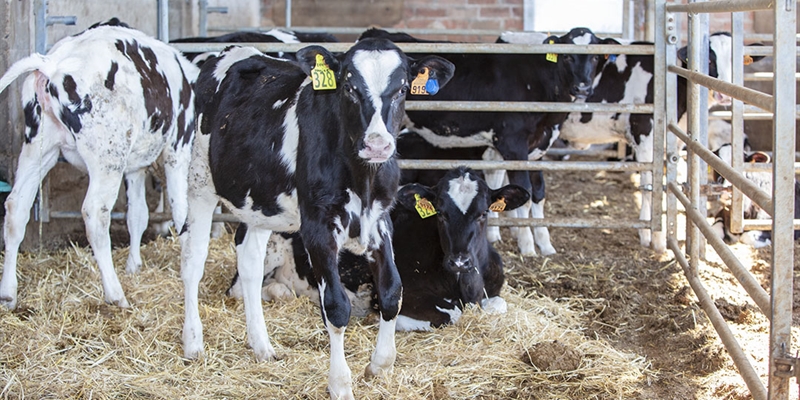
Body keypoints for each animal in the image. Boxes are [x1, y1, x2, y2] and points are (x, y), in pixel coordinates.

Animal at [0, 20, 198, 310]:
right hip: (107, 159)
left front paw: (134, 265)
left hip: (39, 149)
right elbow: (181, 210)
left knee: (16, 207)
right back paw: (115, 294)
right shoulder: (177, 149)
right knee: (94, 214)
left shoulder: (135, 167)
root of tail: (54, 62)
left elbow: (137, 215)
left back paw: (8, 293)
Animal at [180, 40, 454, 399]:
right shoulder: (317, 228)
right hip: (199, 181)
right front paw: (340, 384)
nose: (377, 145)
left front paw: (380, 365)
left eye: (402, 88)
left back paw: (262, 346)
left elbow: (393, 292)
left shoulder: (381, 221)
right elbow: (336, 308)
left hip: (261, 203)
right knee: (193, 260)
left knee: (250, 262)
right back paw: (193, 343)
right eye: (350, 88)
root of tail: (233, 50)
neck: (362, 179)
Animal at [227, 166, 530, 331]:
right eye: (441, 214)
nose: (459, 261)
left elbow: (497, 305)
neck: (465, 286)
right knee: (240, 290)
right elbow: (451, 315)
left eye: (483, 213)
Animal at [359, 27, 606, 258]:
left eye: (595, 57)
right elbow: (524, 194)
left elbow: (536, 193)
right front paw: (527, 245)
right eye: (567, 56)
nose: (582, 87)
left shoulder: (536, 148)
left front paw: (544, 244)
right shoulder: (514, 145)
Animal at [557, 32, 764, 253]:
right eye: (709, 60)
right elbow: (649, 186)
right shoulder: (644, 135)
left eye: (737, 60)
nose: (724, 95)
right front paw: (652, 237)